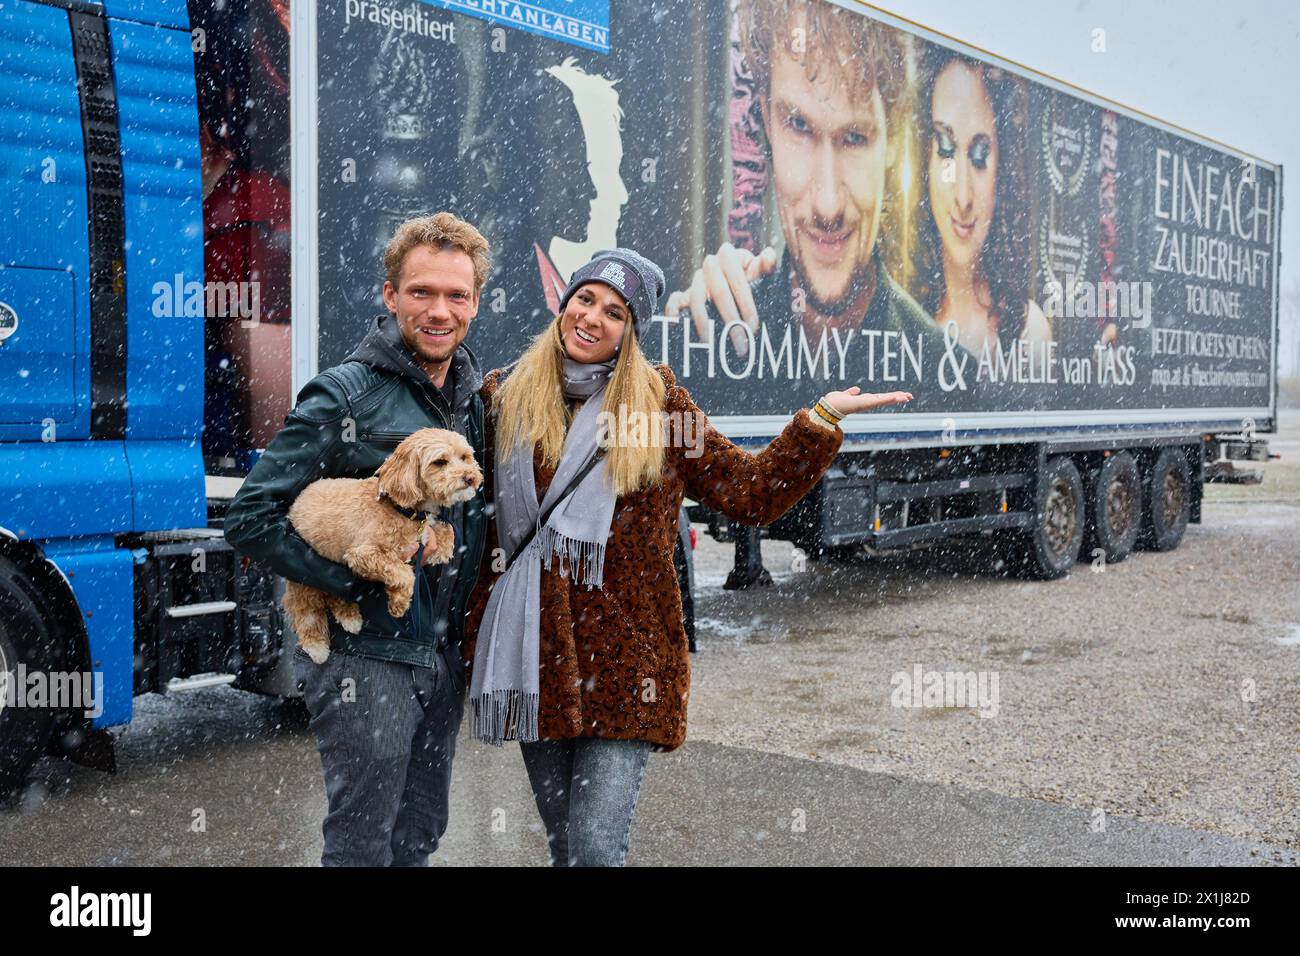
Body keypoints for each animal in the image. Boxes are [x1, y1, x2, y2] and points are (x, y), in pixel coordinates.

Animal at [283, 429, 483, 660]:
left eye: (464, 457)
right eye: (440, 462)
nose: (470, 477)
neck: (404, 510)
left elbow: (448, 539)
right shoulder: (362, 554)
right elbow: (404, 573)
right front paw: (399, 603)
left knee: (335, 592)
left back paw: (349, 616)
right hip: (303, 575)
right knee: (305, 609)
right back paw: (315, 645)